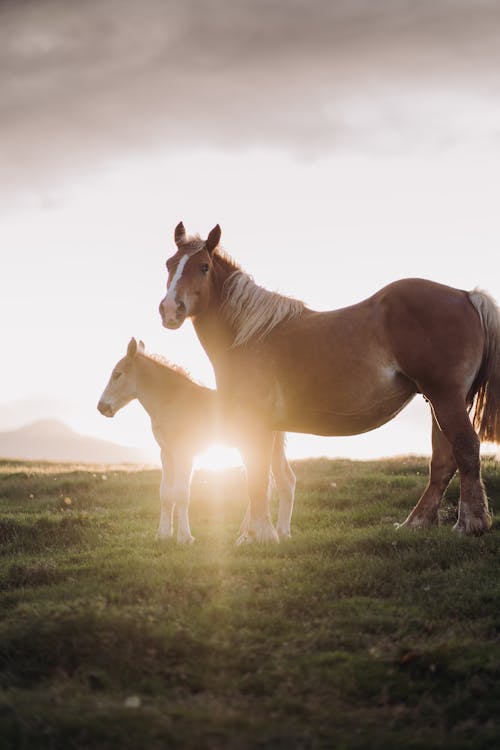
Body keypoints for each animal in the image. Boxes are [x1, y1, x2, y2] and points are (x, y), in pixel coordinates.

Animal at [96, 340, 296, 548]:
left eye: (117, 374)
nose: (101, 407)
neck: (172, 401)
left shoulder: (184, 452)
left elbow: (181, 493)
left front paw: (185, 538)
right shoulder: (166, 453)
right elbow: (165, 493)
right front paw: (163, 535)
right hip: (271, 447)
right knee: (285, 481)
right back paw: (281, 533)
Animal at [158, 220, 500, 544]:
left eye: (203, 266)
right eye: (169, 264)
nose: (170, 310)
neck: (248, 336)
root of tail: (466, 295)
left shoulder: (254, 421)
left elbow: (257, 475)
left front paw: (259, 534)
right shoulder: (269, 425)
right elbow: (266, 476)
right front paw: (255, 533)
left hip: (445, 398)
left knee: (466, 448)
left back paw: (469, 524)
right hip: (438, 401)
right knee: (443, 461)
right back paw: (416, 524)